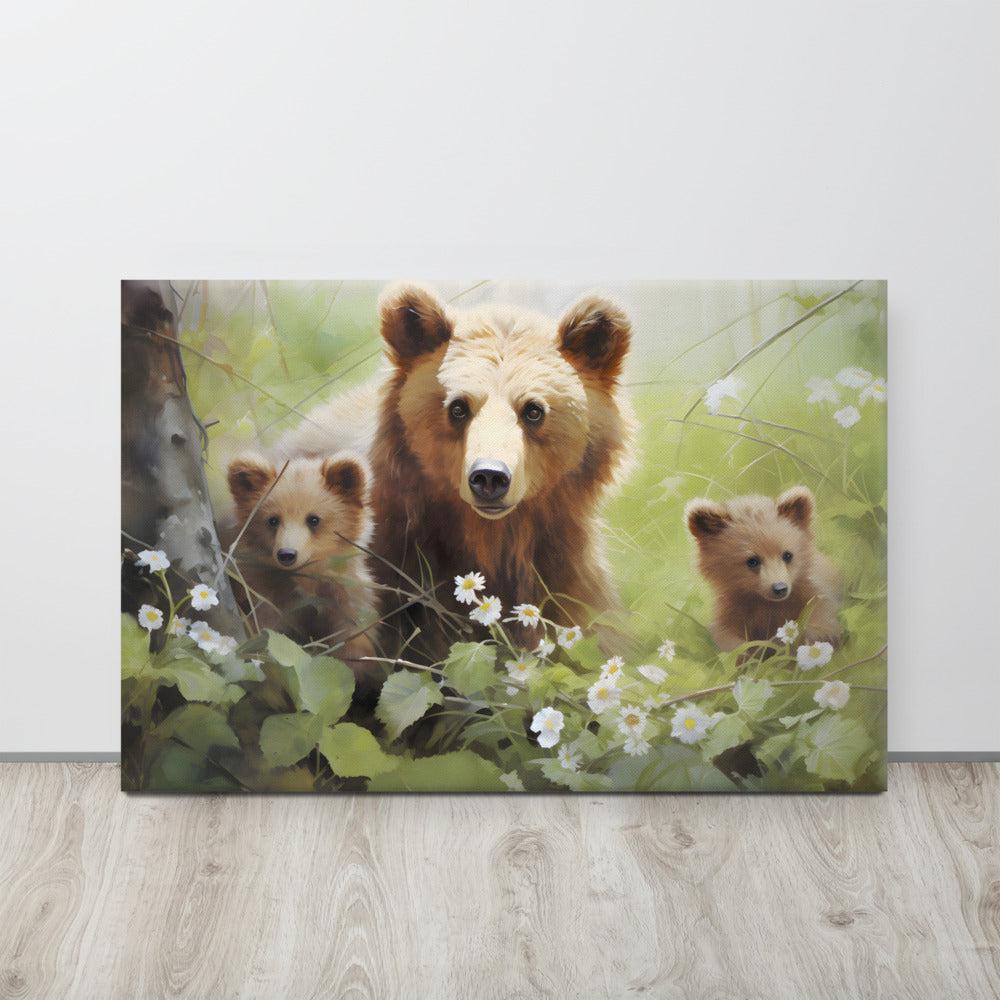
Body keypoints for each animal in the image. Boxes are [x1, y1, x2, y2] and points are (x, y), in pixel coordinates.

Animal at [225, 450, 381, 691]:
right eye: (273, 520)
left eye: (313, 519)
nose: (287, 554)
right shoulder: (263, 593)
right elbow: (266, 632)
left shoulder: (346, 595)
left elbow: (354, 638)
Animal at [350, 282, 637, 660]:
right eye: (458, 407)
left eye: (533, 410)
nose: (489, 476)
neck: (491, 539)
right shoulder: (396, 566)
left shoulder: (565, 575)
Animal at [685, 486, 842, 652]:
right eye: (752, 561)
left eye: (787, 555)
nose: (780, 588)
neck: (763, 601)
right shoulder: (732, 605)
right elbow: (725, 632)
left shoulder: (806, 591)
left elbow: (820, 607)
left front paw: (823, 634)